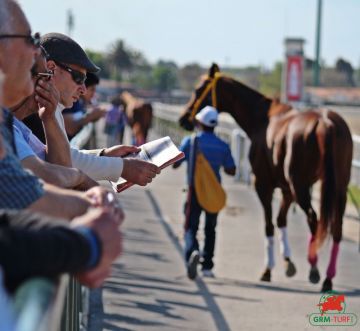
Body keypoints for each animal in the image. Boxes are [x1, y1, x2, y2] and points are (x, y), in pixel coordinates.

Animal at [179, 63, 352, 292]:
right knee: (337, 227)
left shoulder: (264, 184)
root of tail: (326, 123)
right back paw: (328, 278)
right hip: (339, 185)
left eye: (199, 90)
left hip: (301, 185)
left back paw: (315, 269)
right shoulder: (286, 189)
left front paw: (268, 270)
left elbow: (269, 225)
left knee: (313, 218)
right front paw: (288, 263)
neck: (263, 119)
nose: (184, 118)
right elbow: (280, 220)